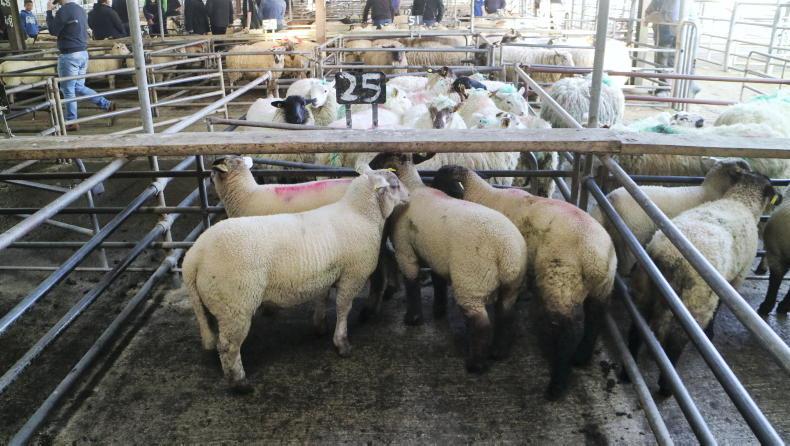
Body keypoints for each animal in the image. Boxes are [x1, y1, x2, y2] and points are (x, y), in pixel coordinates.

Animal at [183, 168, 408, 392]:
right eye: (395, 185)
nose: (409, 196)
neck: (360, 214)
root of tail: (194, 257)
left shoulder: (324, 272)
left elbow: (322, 298)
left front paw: (320, 326)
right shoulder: (353, 274)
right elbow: (343, 308)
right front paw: (342, 343)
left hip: (214, 300)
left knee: (215, 335)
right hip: (236, 303)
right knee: (228, 346)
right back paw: (239, 383)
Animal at [367, 153, 528, 374]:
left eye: (384, 157)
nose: (369, 165)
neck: (412, 188)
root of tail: (506, 252)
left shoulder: (404, 250)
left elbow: (411, 282)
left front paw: (413, 318)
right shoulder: (436, 253)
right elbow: (438, 281)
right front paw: (439, 310)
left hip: (471, 281)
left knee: (481, 324)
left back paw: (476, 365)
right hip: (512, 285)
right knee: (506, 315)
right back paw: (499, 352)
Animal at [431, 165, 616, 399]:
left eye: (440, 180)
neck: (484, 195)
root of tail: (596, 258)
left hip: (560, 281)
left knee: (568, 333)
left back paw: (556, 386)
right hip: (603, 287)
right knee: (594, 318)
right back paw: (581, 357)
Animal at [629, 171, 781, 395]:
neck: (741, 200)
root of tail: (666, 257)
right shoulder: (735, 279)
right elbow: (719, 307)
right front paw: (710, 332)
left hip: (644, 289)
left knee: (636, 329)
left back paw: (627, 372)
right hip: (694, 303)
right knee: (675, 342)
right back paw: (666, 387)